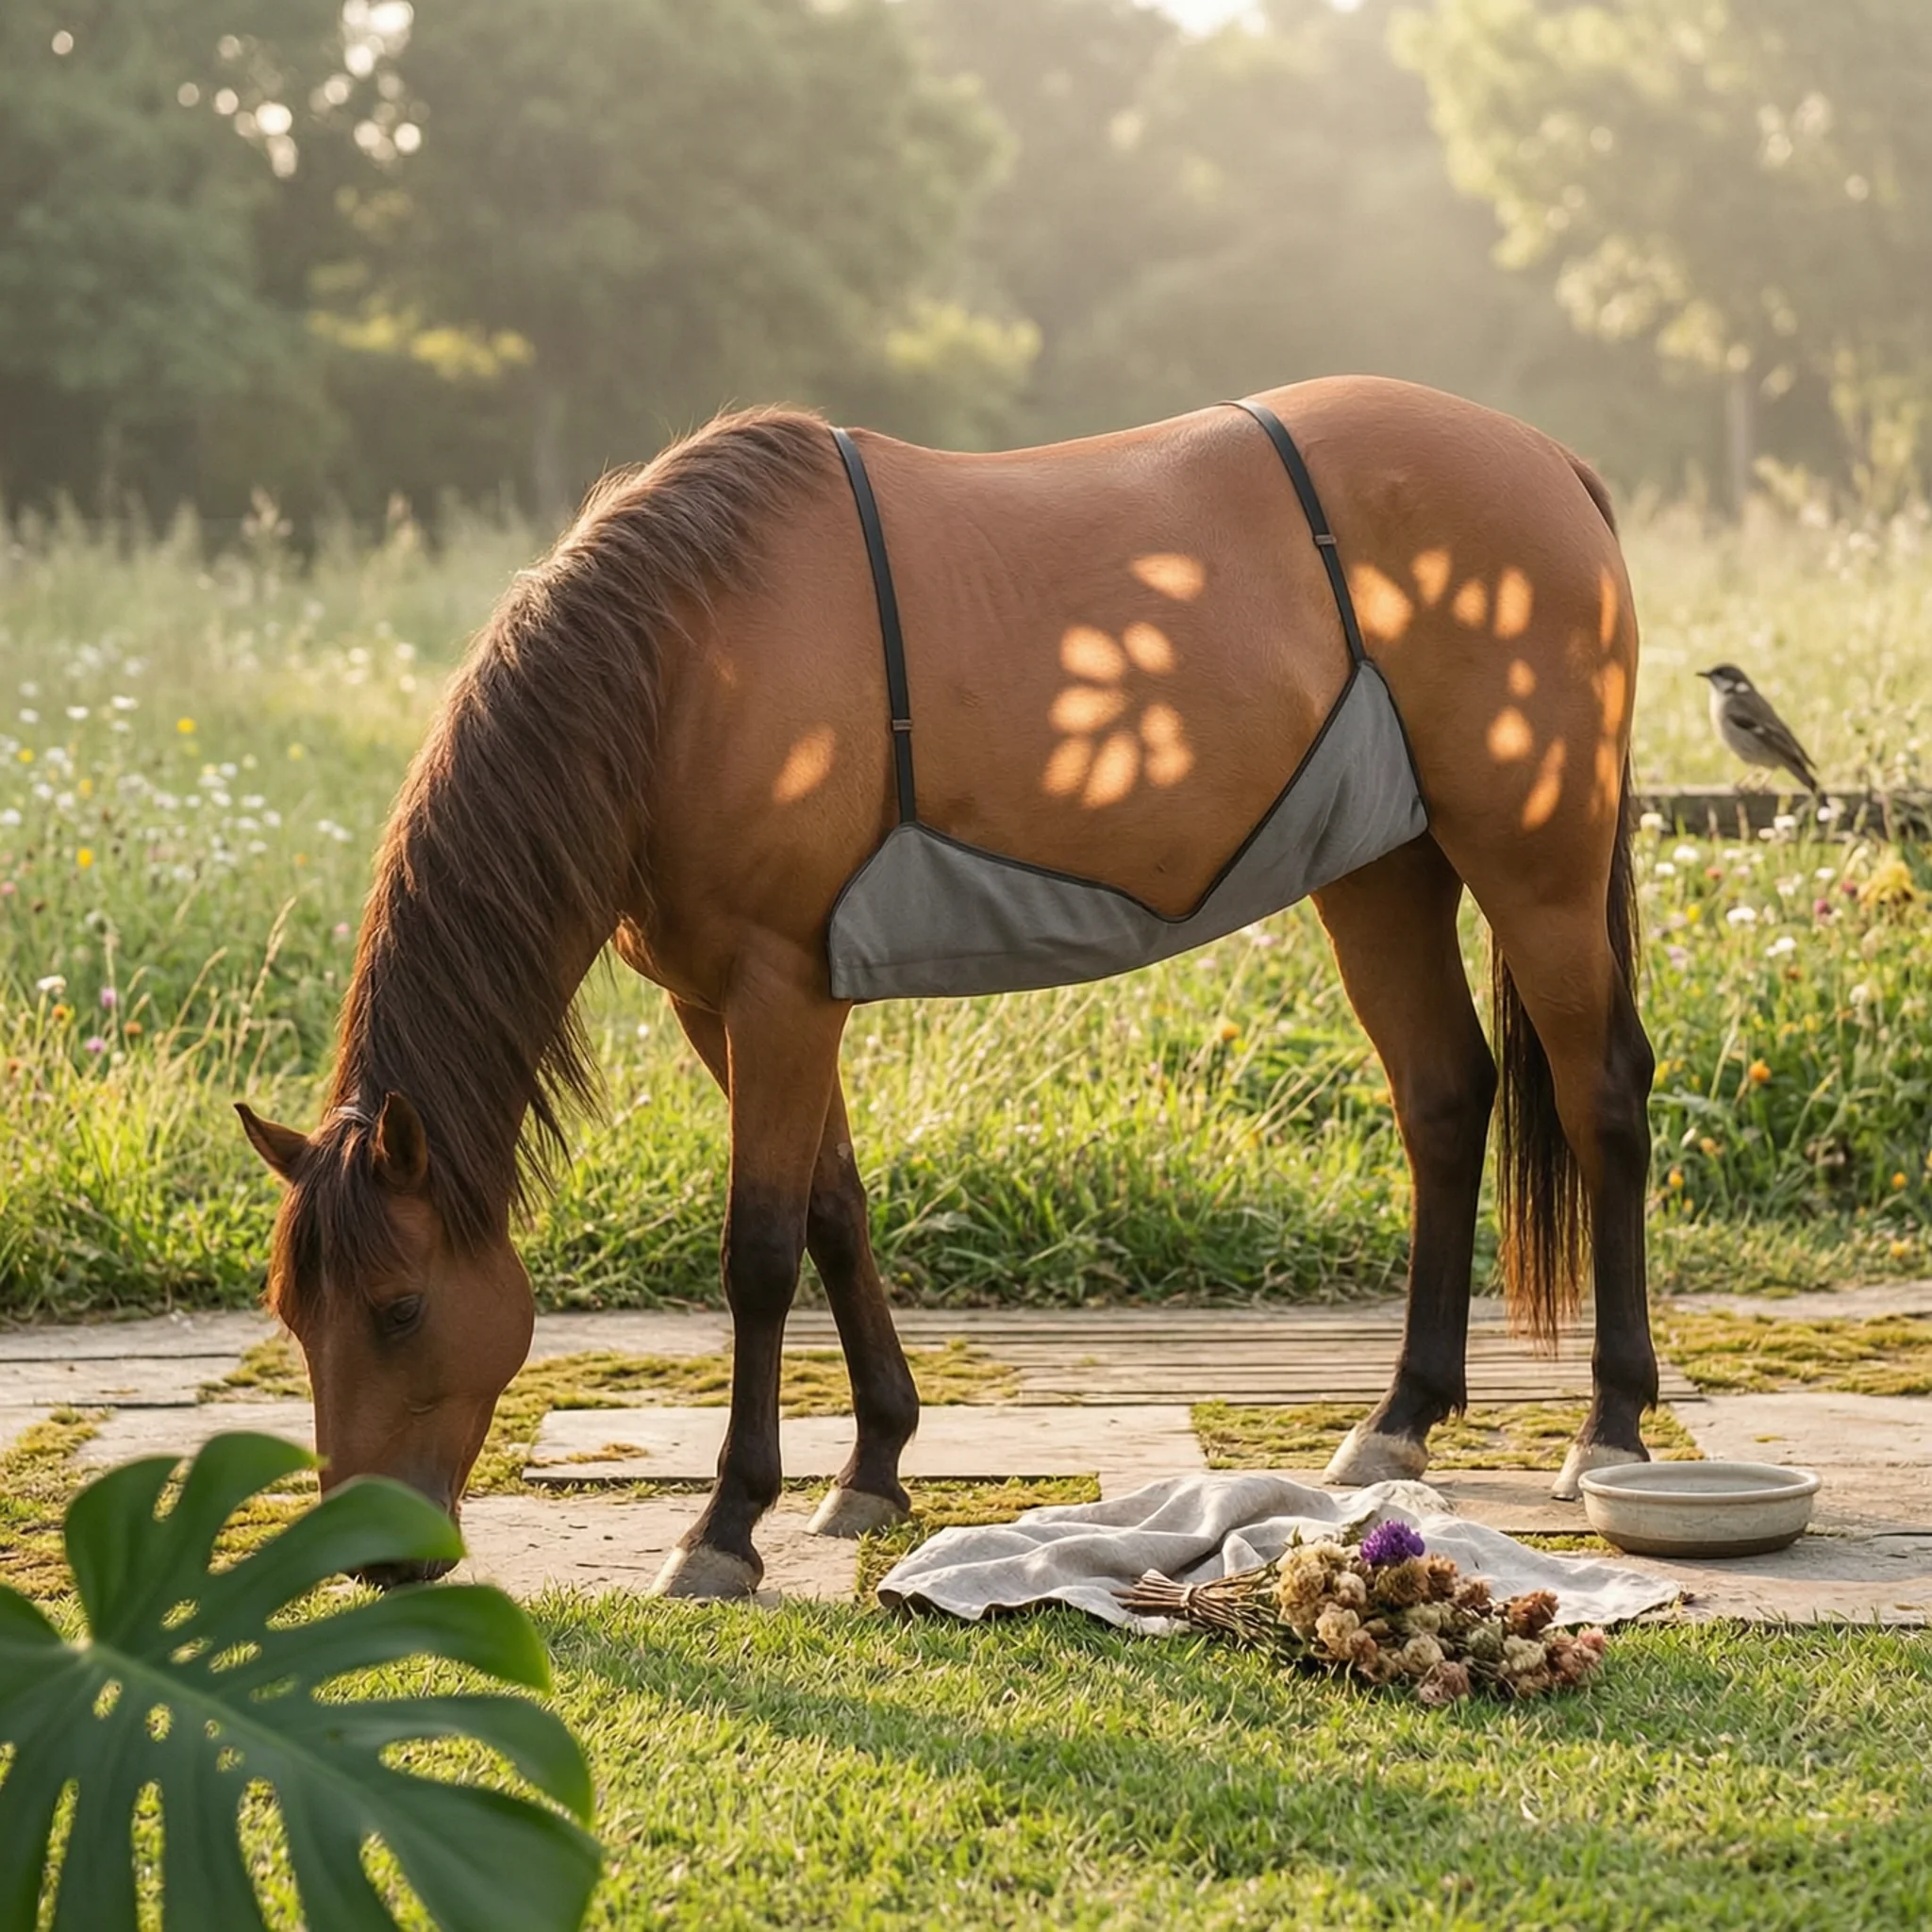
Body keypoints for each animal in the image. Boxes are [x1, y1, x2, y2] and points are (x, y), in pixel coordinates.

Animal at [237, 376, 1657, 1597]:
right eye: (295, 1314)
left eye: (400, 1307)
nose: (373, 1554)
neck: (688, 665)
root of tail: (1552, 463)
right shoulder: (729, 1002)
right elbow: (834, 1211)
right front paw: (873, 1464)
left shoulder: (777, 991)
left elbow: (759, 1251)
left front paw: (725, 1525)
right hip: (1382, 868)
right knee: (1443, 1098)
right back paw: (1400, 1417)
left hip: (1533, 862)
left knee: (1602, 1099)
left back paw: (1611, 1424)